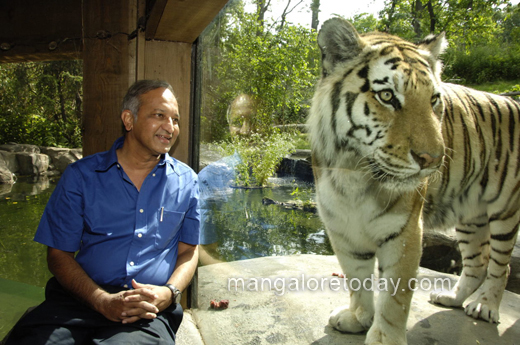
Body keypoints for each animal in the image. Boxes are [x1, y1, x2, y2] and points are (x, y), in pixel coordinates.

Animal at [306, 17, 520, 342]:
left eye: (433, 100)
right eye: (387, 96)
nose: (433, 159)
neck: (355, 171)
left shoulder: (405, 231)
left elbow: (395, 296)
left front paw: (384, 339)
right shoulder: (341, 227)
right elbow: (357, 278)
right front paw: (358, 317)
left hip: (505, 209)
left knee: (500, 265)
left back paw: (485, 306)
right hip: (470, 217)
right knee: (477, 262)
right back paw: (452, 298)